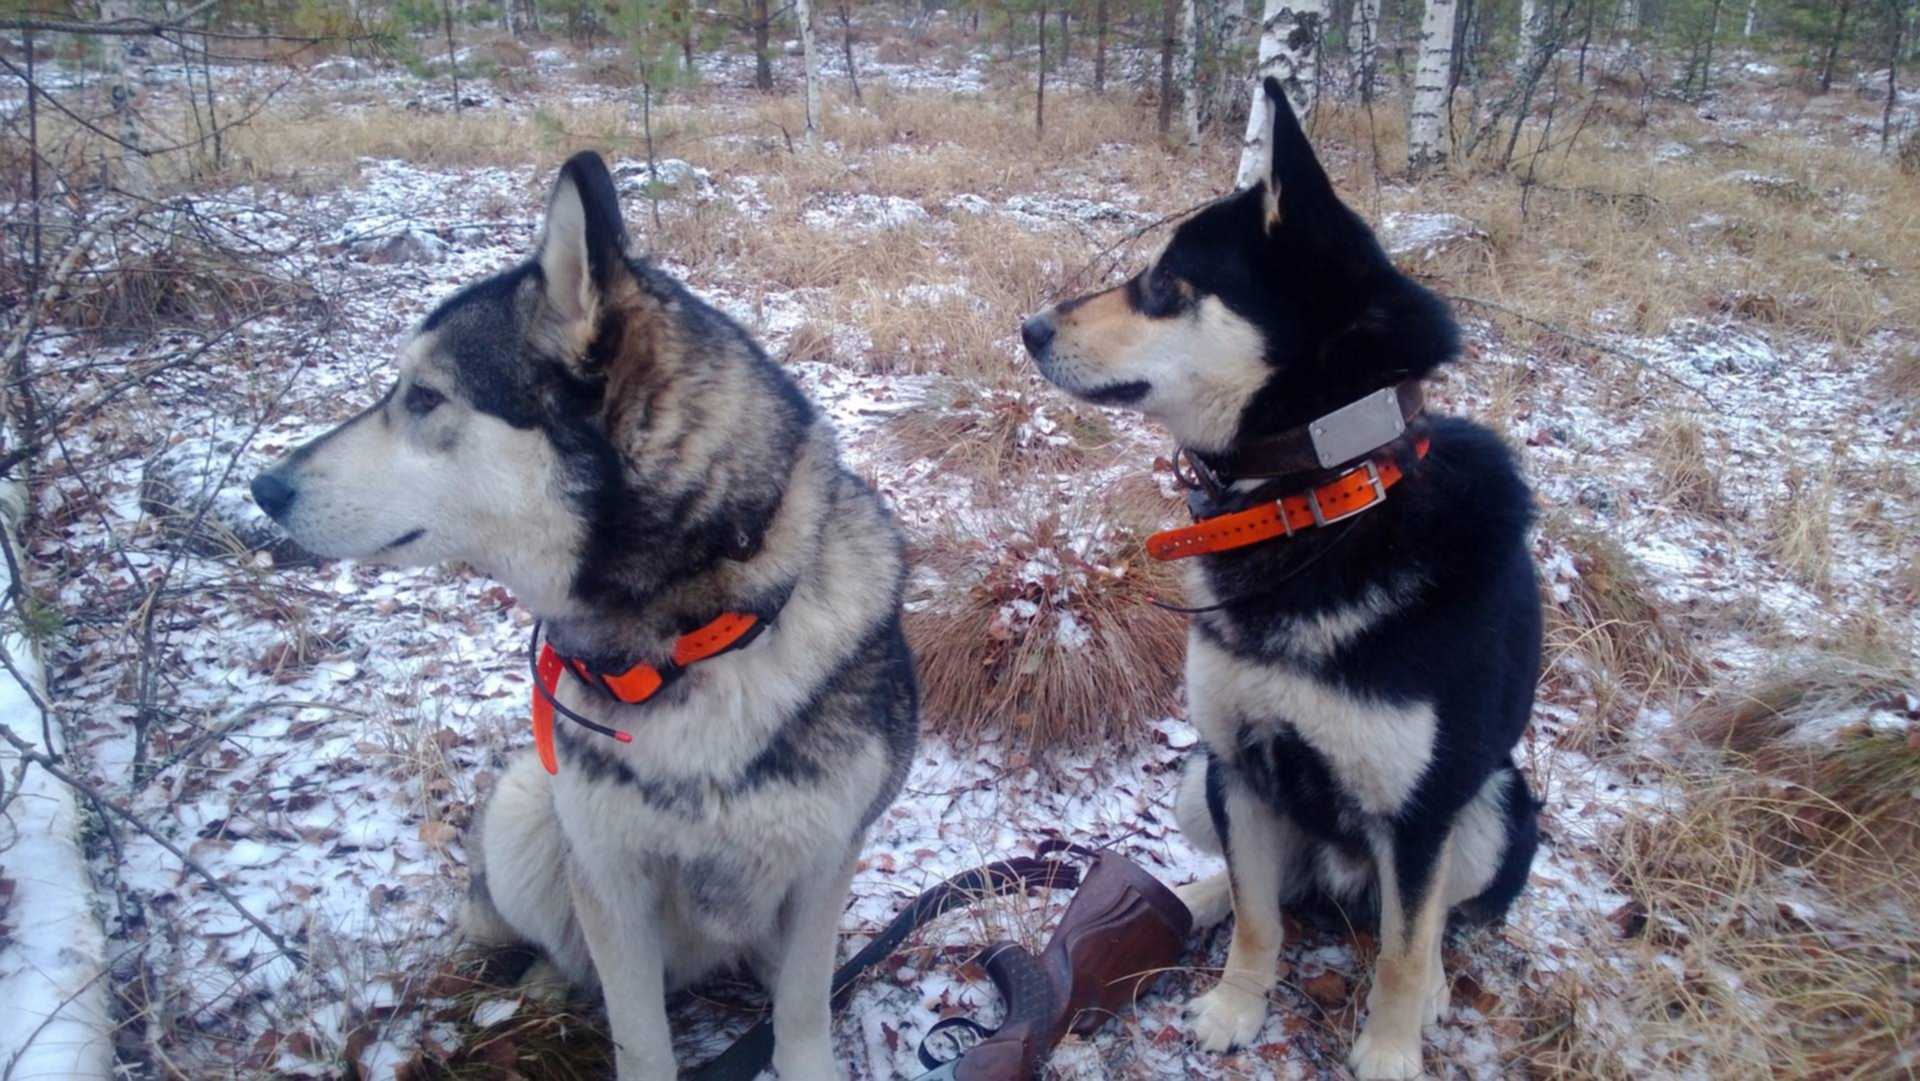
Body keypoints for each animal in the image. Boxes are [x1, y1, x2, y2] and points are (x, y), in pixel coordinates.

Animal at [251, 154, 917, 1081]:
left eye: (423, 398)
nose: (262, 487)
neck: (692, 639)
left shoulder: (824, 865)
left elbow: (802, 1013)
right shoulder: (611, 881)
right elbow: (640, 1038)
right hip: (530, 807)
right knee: (548, 943)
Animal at [1021, 80, 1543, 1075]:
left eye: (1165, 284)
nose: (1028, 325)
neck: (1316, 501)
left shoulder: (1418, 817)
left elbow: (1403, 951)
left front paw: (1389, 1052)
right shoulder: (1241, 764)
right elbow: (1259, 918)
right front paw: (1235, 1005)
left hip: (1496, 805)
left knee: (1431, 924)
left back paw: (1434, 990)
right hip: (1200, 779)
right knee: (1256, 887)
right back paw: (1183, 898)